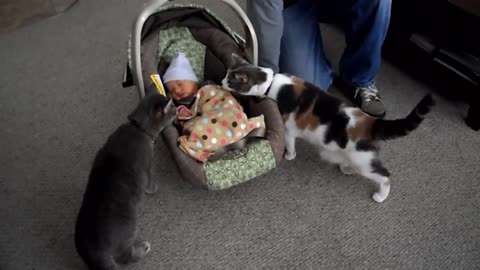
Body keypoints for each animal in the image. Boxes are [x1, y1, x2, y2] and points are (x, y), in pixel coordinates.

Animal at [76, 93, 177, 270]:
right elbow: (149, 180)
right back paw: (143, 248)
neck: (138, 128)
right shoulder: (147, 164)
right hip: (129, 228)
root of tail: (93, 249)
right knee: (126, 256)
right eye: (171, 107)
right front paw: (153, 189)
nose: (177, 108)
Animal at [222, 55, 436, 202]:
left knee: (385, 176)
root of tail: (370, 122)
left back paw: (380, 196)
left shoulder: (288, 129)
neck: (271, 82)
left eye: (230, 80)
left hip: (364, 161)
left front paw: (289, 156)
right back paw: (346, 168)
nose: (222, 81)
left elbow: (290, 145)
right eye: (225, 75)